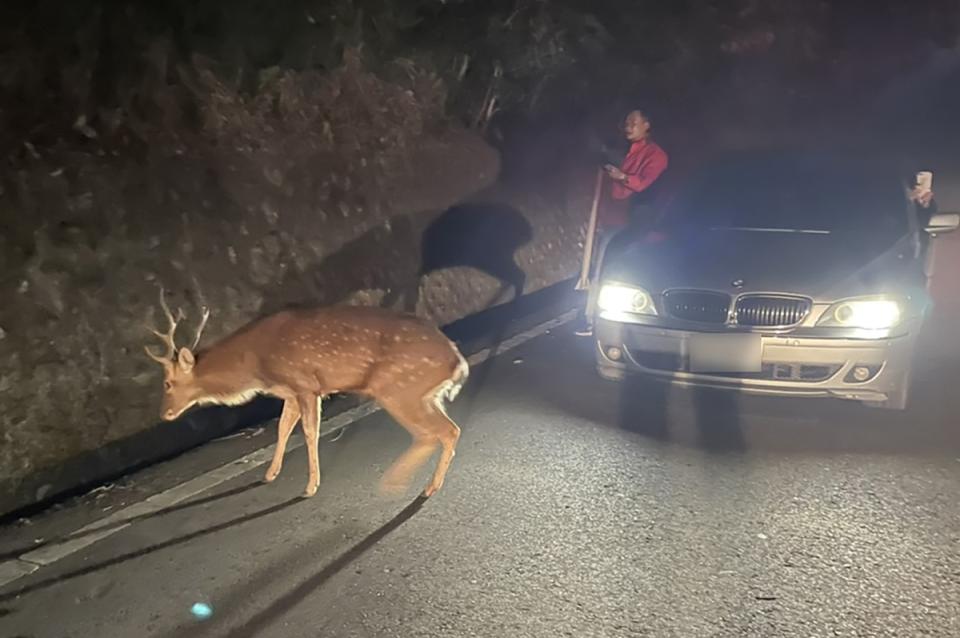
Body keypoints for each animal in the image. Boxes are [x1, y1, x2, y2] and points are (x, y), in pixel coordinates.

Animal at [143, 288, 468, 500]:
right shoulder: (289, 391)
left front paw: (311, 486)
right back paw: (427, 485)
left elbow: (310, 432)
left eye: (167, 383)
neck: (255, 364)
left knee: (434, 433)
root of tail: (457, 362)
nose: (164, 413)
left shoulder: (305, 384)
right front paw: (270, 474)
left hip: (397, 389)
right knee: (450, 429)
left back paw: (398, 484)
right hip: (422, 394)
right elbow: (283, 427)